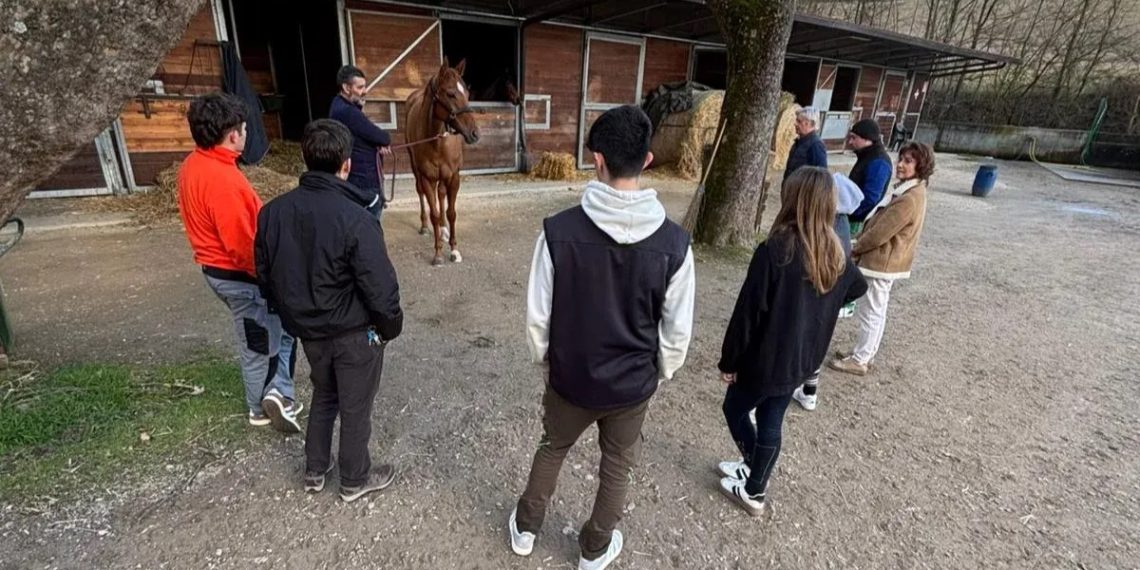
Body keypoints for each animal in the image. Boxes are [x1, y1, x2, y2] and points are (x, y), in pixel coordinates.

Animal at [405, 58, 481, 266]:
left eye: (467, 93)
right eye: (450, 93)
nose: (474, 134)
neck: (437, 142)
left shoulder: (454, 176)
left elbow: (451, 212)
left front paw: (454, 250)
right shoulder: (427, 178)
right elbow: (434, 213)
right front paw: (438, 253)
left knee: (441, 195)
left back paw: (444, 229)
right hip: (415, 168)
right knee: (422, 194)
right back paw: (425, 226)